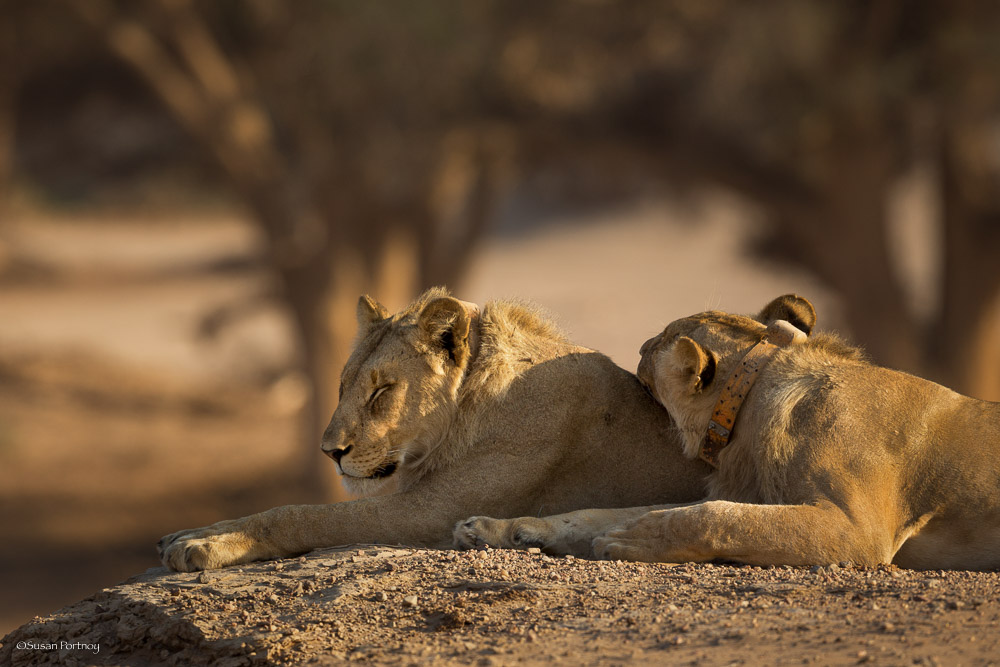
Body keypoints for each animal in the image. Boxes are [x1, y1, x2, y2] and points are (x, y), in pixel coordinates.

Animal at [156, 284, 708, 572]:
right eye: (343, 386)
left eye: (381, 391)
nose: (330, 451)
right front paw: (196, 531)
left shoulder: (434, 512)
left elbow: (301, 515)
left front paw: (206, 545)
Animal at [458, 294, 1000, 572]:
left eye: (658, 340)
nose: (641, 342)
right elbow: (599, 512)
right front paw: (501, 528)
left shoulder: (859, 532)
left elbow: (713, 516)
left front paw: (634, 539)